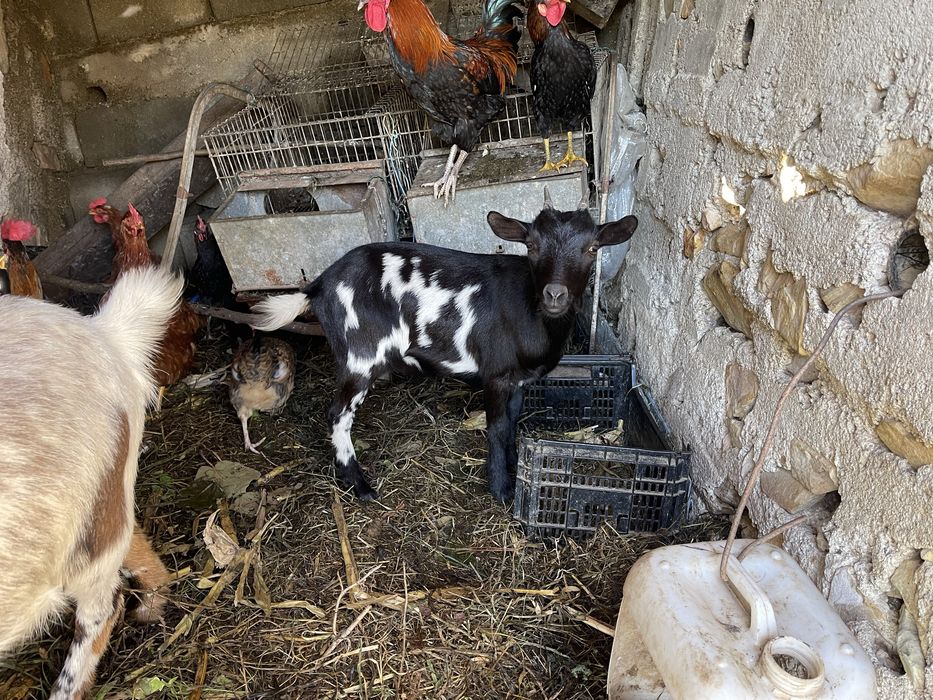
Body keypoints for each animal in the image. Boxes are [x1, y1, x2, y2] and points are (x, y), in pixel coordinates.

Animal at [252, 188, 637, 502]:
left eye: (592, 248)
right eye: (531, 246)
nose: (554, 294)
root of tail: (318, 285)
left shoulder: (518, 379)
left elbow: (513, 421)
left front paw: (515, 465)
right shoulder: (495, 373)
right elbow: (497, 427)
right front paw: (501, 489)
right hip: (360, 354)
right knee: (338, 414)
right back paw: (360, 486)